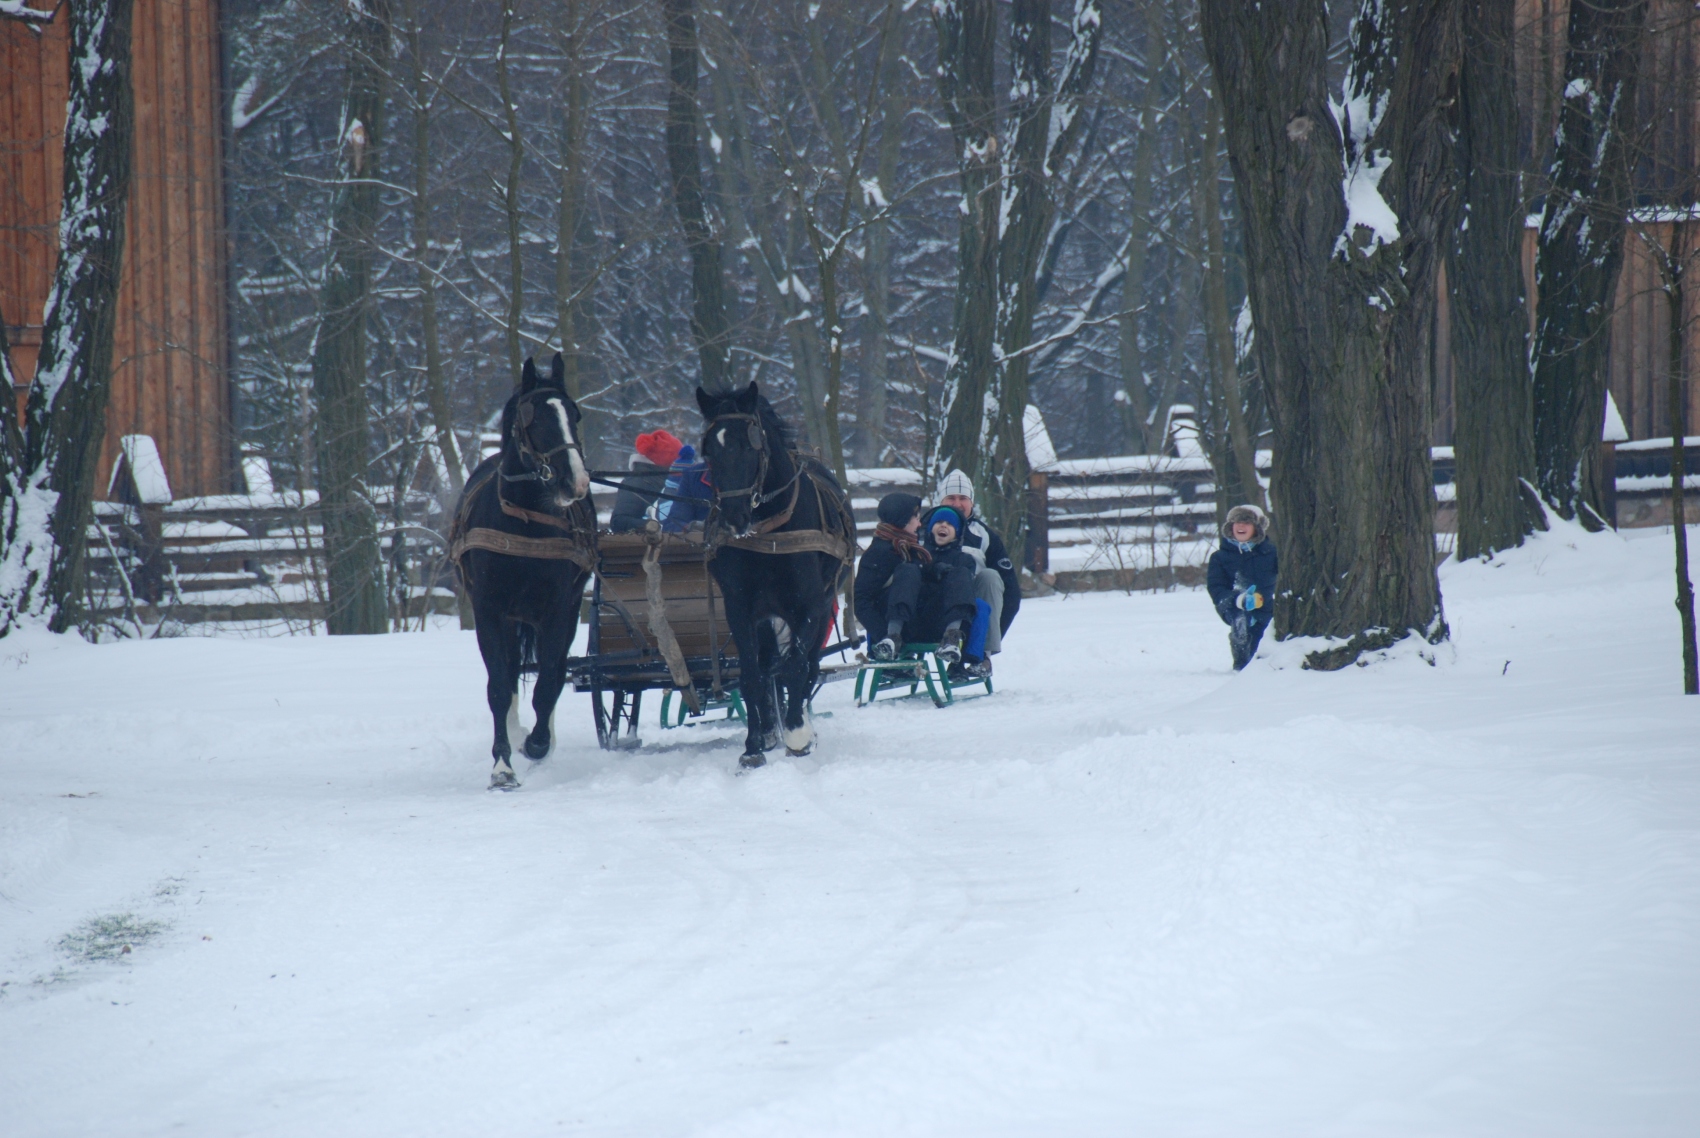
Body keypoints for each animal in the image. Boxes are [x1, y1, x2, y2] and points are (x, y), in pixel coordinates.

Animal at [452, 350, 598, 785]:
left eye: (574, 414)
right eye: (535, 418)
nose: (577, 482)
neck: (525, 522)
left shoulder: (559, 610)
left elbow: (550, 679)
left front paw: (538, 743)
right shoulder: (489, 611)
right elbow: (500, 686)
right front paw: (502, 764)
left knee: (554, 671)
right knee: (513, 670)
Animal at [693, 386, 856, 768]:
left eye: (750, 445)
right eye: (709, 452)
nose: (733, 517)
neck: (768, 531)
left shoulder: (810, 605)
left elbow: (796, 667)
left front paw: (798, 734)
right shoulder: (739, 607)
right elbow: (752, 675)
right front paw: (754, 743)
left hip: (824, 605)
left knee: (809, 666)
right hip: (767, 617)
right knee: (768, 666)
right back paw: (769, 729)